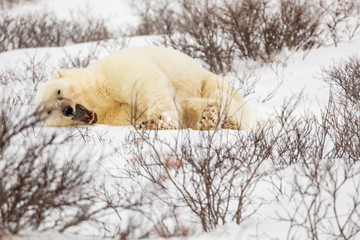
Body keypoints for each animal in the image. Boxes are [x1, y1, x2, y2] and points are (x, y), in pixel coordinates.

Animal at [35, 46, 249, 130]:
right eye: (49, 111)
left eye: (59, 92)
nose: (68, 110)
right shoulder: (114, 115)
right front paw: (148, 123)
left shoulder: (113, 73)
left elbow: (147, 85)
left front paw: (157, 122)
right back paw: (209, 118)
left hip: (207, 80)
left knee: (219, 94)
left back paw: (219, 118)